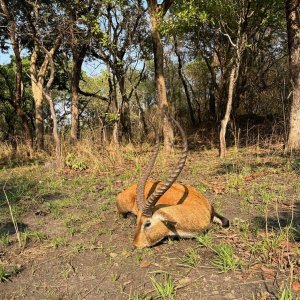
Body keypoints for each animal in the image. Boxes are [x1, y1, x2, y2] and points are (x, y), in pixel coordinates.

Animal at [116, 111, 229, 247]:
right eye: (139, 220)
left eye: (147, 223)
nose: (135, 244)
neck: (197, 207)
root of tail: (125, 191)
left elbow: (226, 221)